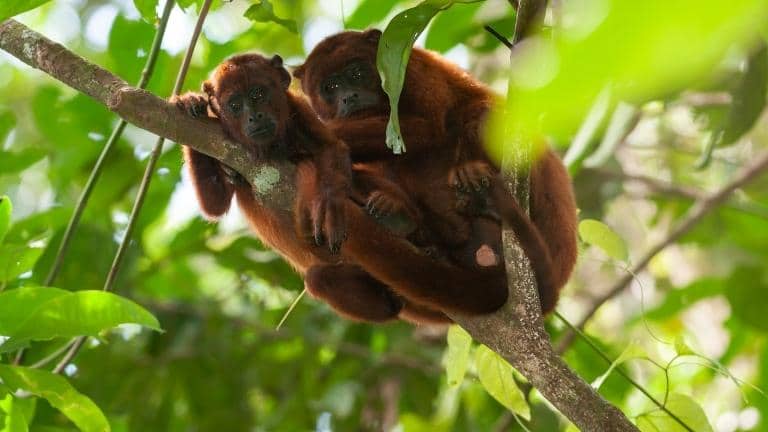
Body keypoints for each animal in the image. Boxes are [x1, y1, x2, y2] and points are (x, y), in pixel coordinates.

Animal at [294, 28, 576, 316]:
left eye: (357, 73)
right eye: (330, 87)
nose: (348, 97)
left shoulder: (413, 70)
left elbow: (427, 127)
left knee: (484, 116)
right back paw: (405, 221)